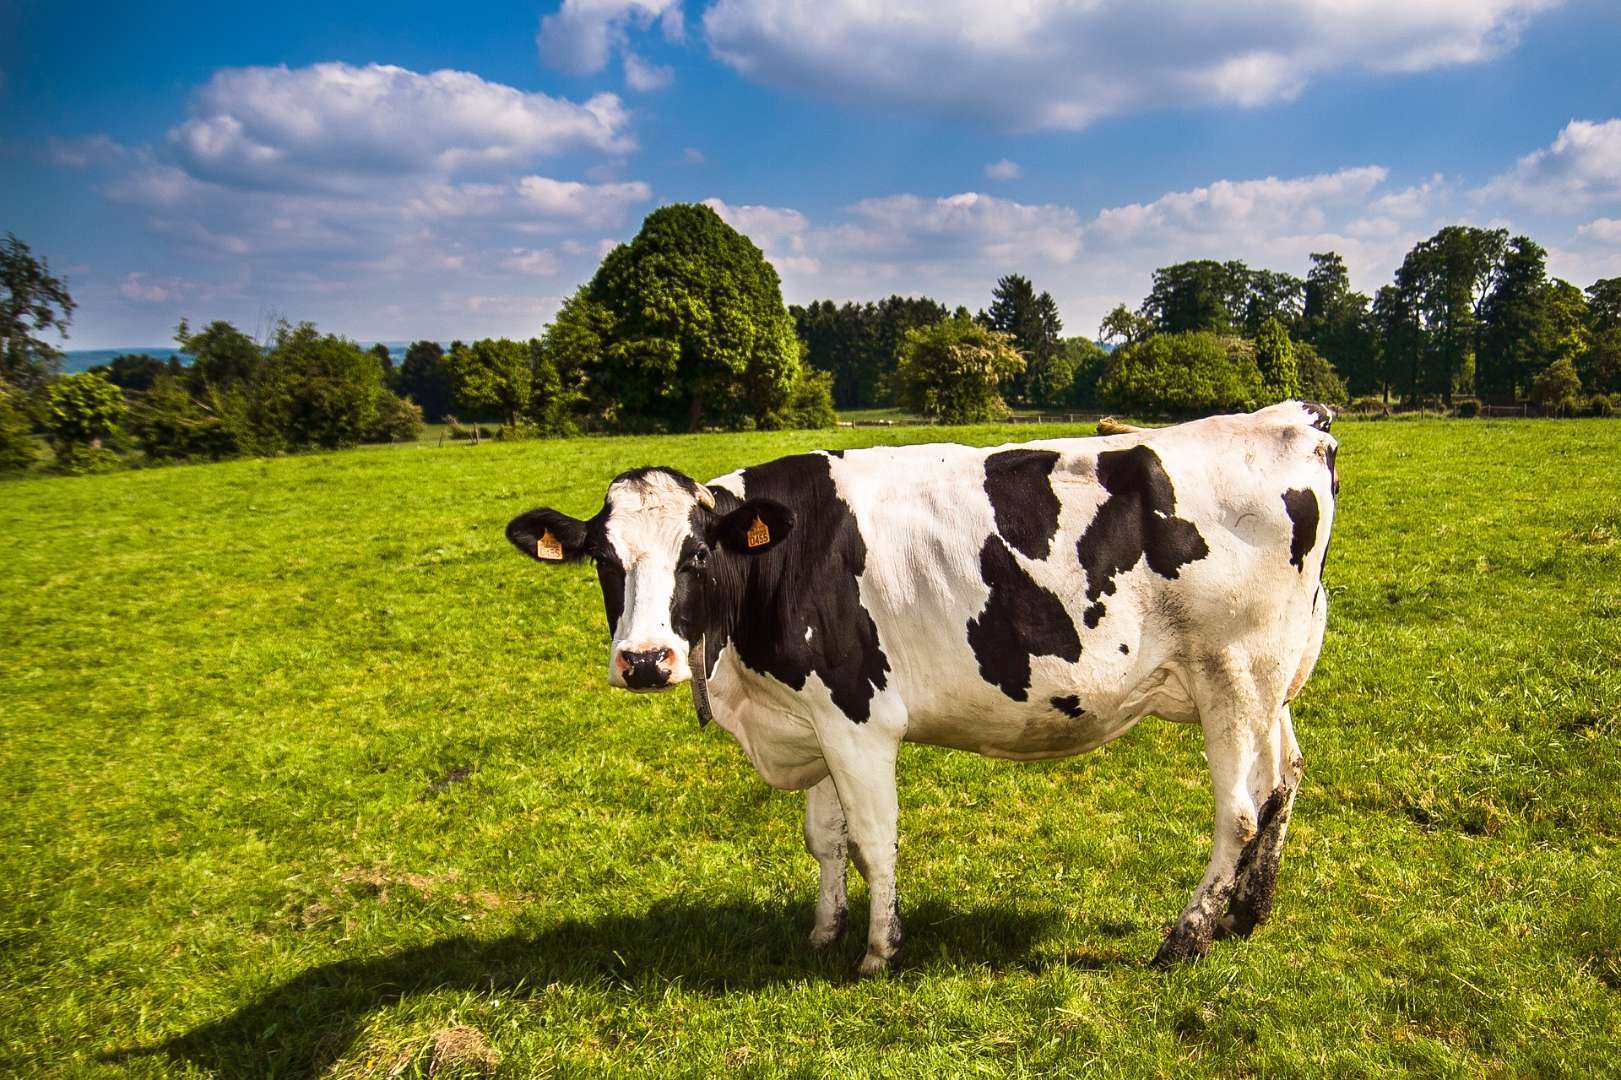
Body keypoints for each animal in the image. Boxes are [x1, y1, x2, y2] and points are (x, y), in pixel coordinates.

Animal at [508, 398, 1342, 972]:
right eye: (604, 561)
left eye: (697, 555)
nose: (645, 660)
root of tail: (1292, 418)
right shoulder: (812, 716)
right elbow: (824, 838)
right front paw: (824, 931)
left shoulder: (856, 716)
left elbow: (872, 838)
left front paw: (879, 951)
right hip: (1269, 678)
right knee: (1284, 779)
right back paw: (1246, 913)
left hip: (1231, 673)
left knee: (1239, 811)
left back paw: (1185, 937)